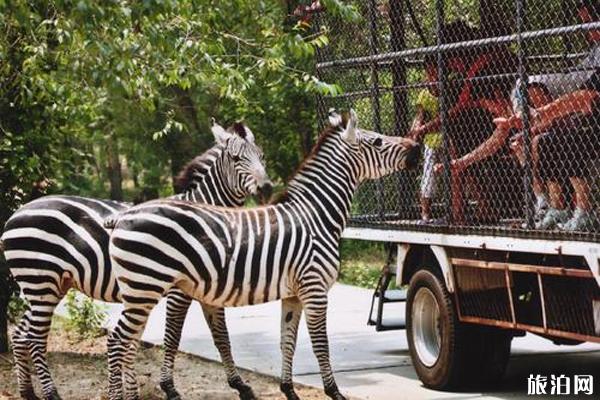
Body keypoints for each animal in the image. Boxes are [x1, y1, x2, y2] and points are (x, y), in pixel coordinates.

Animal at [0, 119, 272, 400]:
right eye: (236, 158)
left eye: (262, 156)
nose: (266, 188)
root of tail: (16, 213)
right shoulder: (178, 292)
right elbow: (172, 336)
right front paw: (169, 387)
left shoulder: (210, 288)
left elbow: (222, 336)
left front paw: (241, 385)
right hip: (41, 282)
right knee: (34, 337)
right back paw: (51, 393)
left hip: (48, 287)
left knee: (20, 334)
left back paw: (28, 392)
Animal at [105, 109, 420, 400]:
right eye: (378, 141)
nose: (416, 146)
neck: (316, 215)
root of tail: (124, 216)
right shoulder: (315, 288)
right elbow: (320, 343)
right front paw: (334, 392)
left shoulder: (293, 294)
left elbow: (287, 341)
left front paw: (288, 390)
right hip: (145, 288)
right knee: (117, 341)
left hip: (139, 292)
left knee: (127, 342)